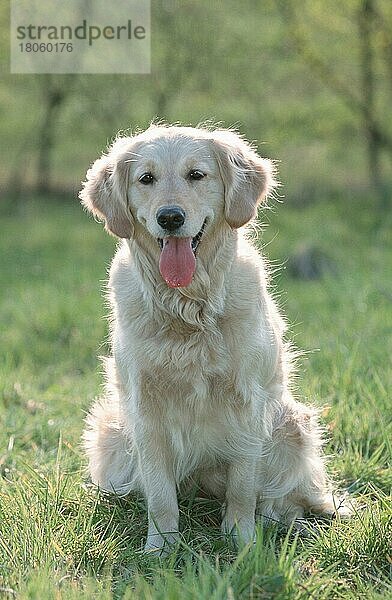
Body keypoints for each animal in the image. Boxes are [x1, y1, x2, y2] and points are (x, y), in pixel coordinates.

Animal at [79, 123, 350, 552]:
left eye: (197, 175)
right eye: (146, 179)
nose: (170, 217)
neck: (189, 309)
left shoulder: (248, 400)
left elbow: (243, 485)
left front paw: (242, 540)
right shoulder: (145, 406)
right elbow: (159, 492)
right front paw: (161, 547)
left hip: (292, 425)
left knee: (282, 499)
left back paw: (289, 523)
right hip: (111, 432)